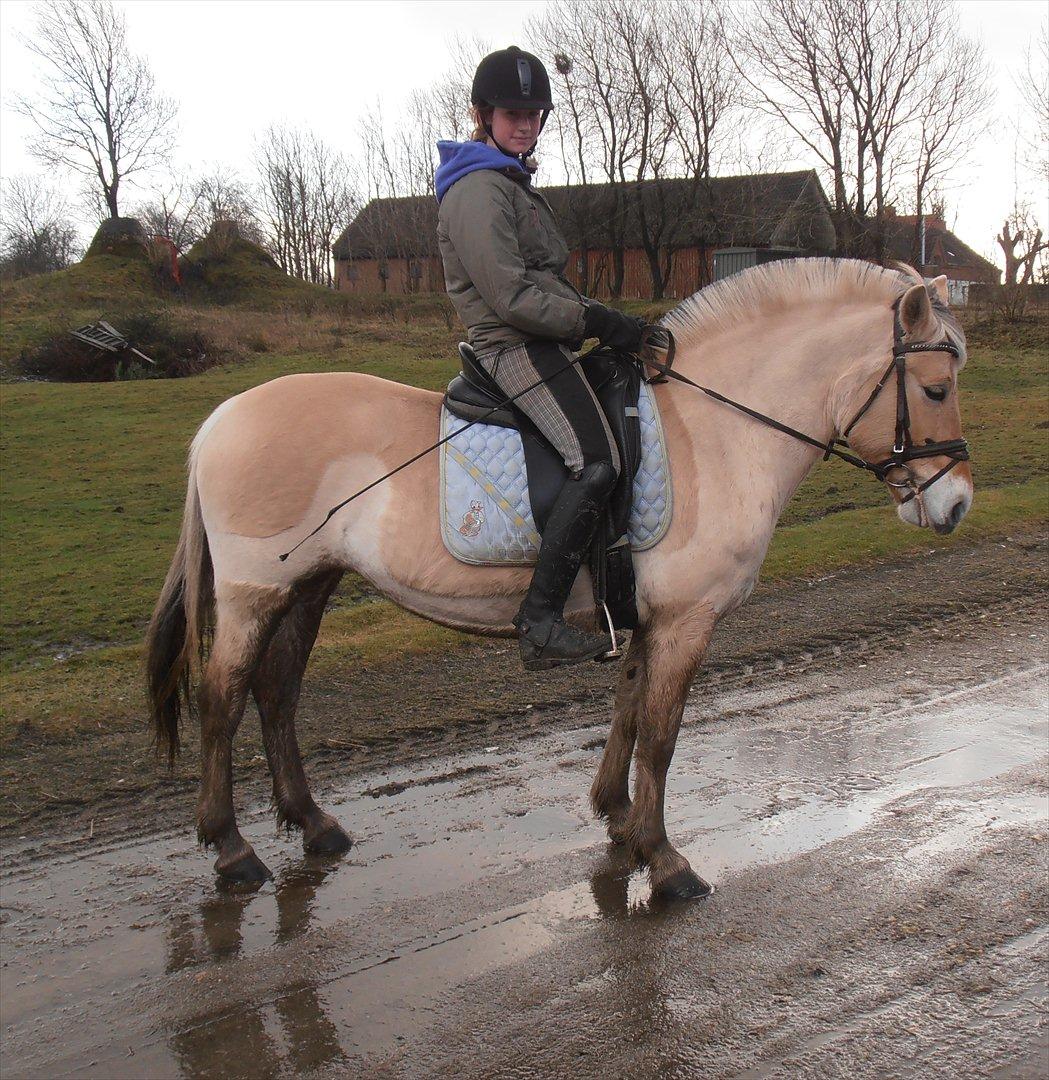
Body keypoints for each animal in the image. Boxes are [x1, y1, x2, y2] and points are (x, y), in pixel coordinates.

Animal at [143, 261, 972, 894]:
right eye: (935, 389)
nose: (956, 504)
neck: (717, 431)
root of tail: (217, 422)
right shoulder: (686, 619)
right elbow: (661, 734)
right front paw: (662, 859)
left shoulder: (647, 616)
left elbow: (629, 712)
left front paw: (616, 818)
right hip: (255, 593)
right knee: (222, 700)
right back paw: (231, 848)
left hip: (307, 586)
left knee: (276, 693)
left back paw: (312, 824)